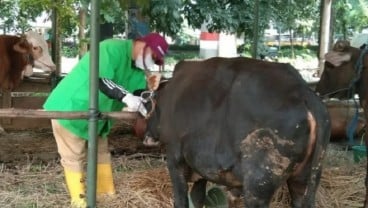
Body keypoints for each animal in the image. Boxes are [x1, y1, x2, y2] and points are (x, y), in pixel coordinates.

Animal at [144, 57, 330, 208]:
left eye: (149, 104)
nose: (147, 137)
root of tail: (304, 92)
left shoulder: (175, 158)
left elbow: (181, 199)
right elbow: (197, 198)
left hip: (258, 186)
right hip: (304, 180)